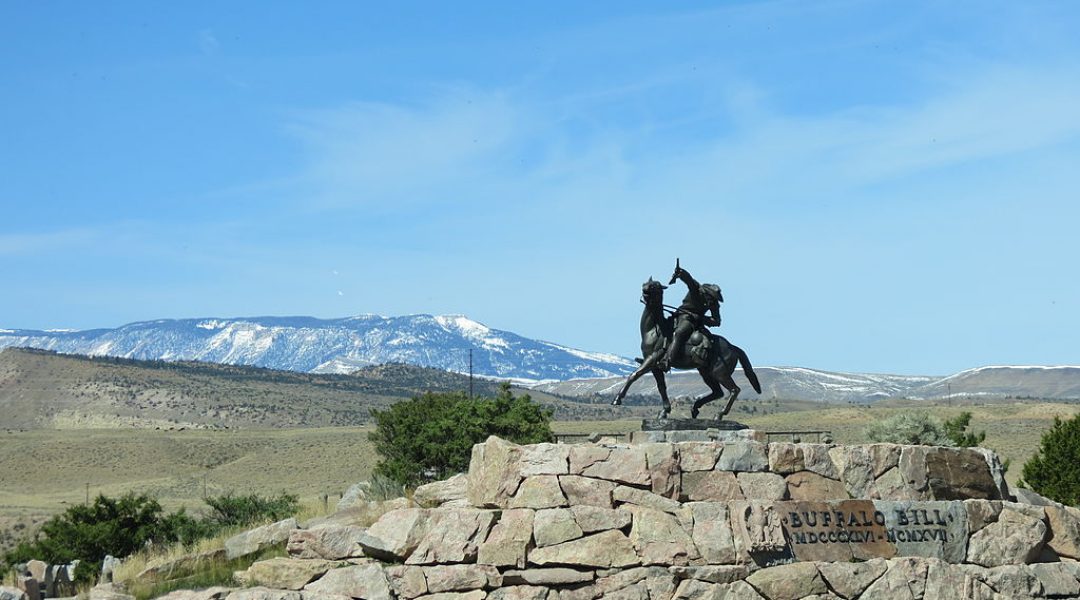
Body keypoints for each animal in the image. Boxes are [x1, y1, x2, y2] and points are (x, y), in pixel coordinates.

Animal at [613, 278, 764, 418]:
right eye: (647, 283)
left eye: (655, 286)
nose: (645, 289)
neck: (655, 330)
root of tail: (733, 347)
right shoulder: (655, 367)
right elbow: (661, 387)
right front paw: (664, 411)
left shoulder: (652, 359)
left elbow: (634, 375)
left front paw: (617, 399)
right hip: (706, 372)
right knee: (718, 392)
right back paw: (695, 408)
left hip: (720, 373)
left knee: (734, 390)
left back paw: (719, 414)